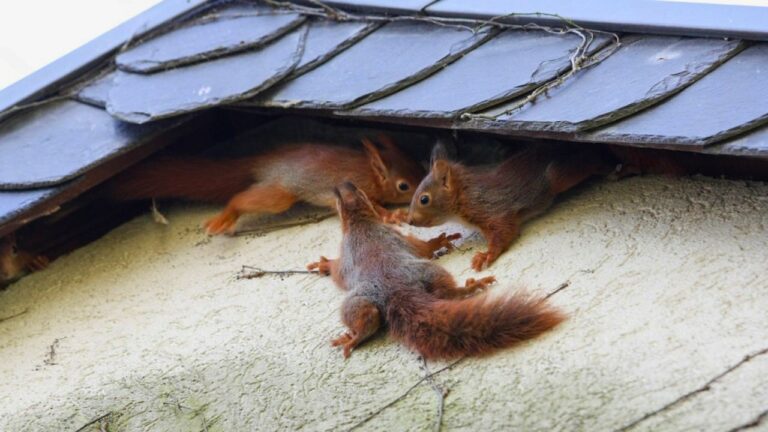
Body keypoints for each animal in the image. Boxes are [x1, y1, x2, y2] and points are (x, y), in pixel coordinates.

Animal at [107, 135, 425, 234]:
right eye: (404, 186)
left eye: (420, 166)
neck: (370, 172)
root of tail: (261, 161)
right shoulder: (356, 189)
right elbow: (375, 208)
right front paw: (391, 214)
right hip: (279, 194)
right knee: (239, 199)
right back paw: (225, 217)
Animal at [307, 181, 565, 360]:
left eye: (356, 189)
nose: (344, 184)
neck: (360, 222)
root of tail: (397, 291)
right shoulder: (387, 241)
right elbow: (421, 248)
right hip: (427, 273)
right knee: (440, 294)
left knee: (370, 318)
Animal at [407, 141, 619, 271]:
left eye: (424, 199)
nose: (409, 221)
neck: (464, 196)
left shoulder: (490, 208)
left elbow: (504, 231)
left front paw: (486, 255)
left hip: (558, 177)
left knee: (590, 162)